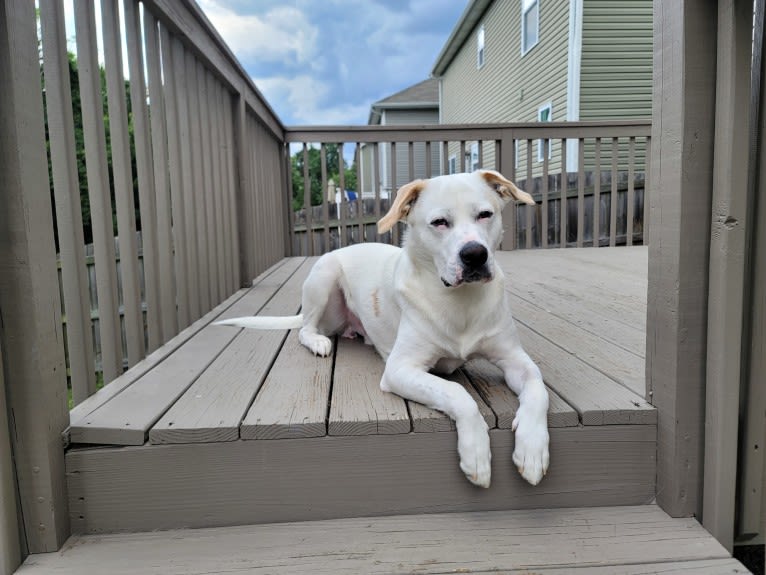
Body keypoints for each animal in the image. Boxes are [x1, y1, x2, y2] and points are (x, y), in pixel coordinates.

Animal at [219, 170, 548, 486]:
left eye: (485, 214)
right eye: (439, 222)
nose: (475, 254)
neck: (460, 302)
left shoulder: (515, 359)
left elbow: (538, 389)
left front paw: (532, 449)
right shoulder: (400, 369)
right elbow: (456, 392)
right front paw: (476, 454)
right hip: (324, 277)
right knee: (305, 328)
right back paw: (318, 342)